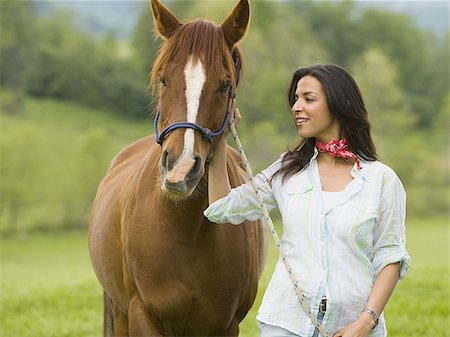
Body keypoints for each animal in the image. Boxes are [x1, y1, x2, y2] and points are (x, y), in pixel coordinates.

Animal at [89, 1, 268, 334]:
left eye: (225, 85)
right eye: (163, 79)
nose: (180, 168)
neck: (184, 230)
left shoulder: (227, 325)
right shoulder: (142, 315)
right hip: (120, 314)